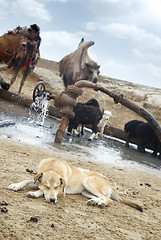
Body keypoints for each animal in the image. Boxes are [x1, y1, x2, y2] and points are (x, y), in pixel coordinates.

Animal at [8, 158, 142, 211]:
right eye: (47, 186)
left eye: (57, 187)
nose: (52, 200)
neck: (52, 167)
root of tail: (109, 183)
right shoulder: (38, 180)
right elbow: (27, 180)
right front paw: (16, 185)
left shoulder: (61, 192)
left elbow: (40, 191)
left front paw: (34, 193)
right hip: (85, 191)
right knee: (102, 197)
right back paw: (94, 202)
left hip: (87, 182)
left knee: (108, 200)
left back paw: (101, 204)